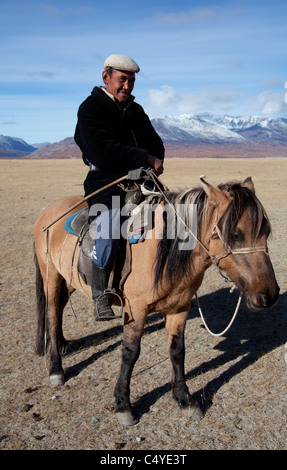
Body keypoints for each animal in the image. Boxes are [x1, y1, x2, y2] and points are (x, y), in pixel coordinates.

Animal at [33, 177, 280, 426]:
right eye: (236, 235)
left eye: (266, 232)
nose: (268, 295)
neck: (165, 249)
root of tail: (47, 211)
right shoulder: (136, 309)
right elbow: (130, 353)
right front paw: (123, 404)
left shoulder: (179, 308)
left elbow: (177, 351)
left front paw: (184, 398)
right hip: (51, 276)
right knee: (52, 315)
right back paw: (56, 369)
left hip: (69, 279)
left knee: (60, 310)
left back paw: (62, 344)